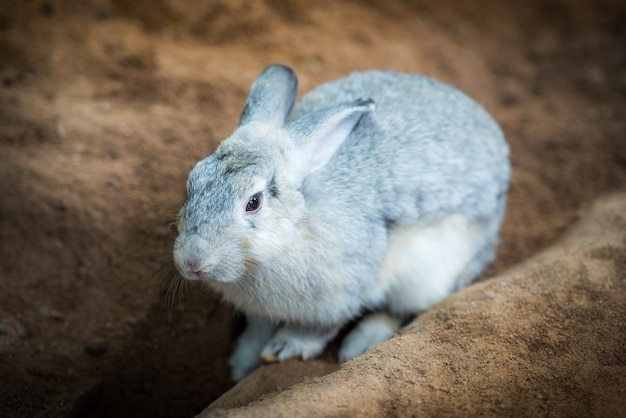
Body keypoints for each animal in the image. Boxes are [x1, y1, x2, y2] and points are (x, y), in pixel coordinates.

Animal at [171, 63, 508, 380]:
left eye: (253, 202)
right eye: (192, 182)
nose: (192, 261)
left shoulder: (340, 296)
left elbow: (318, 329)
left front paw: (284, 348)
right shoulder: (260, 313)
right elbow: (256, 331)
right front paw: (241, 365)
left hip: (427, 274)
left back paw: (359, 344)